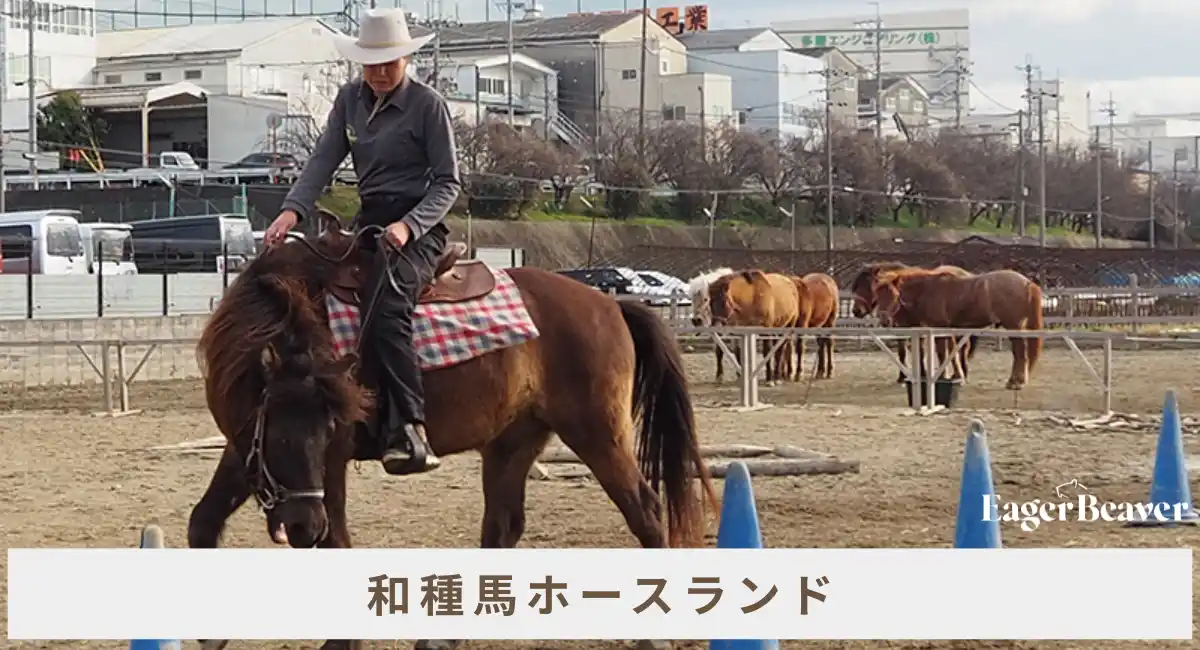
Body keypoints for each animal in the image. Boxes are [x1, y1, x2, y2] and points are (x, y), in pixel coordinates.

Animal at [189, 212, 717, 650]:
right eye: (278, 437)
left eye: (323, 433)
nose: (302, 525)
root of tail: (610, 304)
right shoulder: (242, 448)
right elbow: (203, 521)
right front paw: (211, 635)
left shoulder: (333, 462)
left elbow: (335, 544)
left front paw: (342, 642)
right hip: (512, 441)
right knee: (502, 527)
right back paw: (441, 637)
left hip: (596, 433)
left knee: (644, 509)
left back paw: (654, 636)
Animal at [850, 261, 978, 383]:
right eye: (856, 287)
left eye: (869, 287)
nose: (856, 311)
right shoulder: (900, 329)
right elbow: (902, 352)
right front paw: (902, 376)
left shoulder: (919, 327)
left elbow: (920, 351)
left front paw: (923, 374)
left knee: (963, 347)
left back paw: (963, 373)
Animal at [871, 267, 1044, 390]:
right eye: (877, 296)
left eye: (895, 295)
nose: (884, 320)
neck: (928, 289)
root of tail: (1027, 283)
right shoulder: (947, 329)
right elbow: (950, 353)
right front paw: (954, 375)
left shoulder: (939, 327)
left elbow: (943, 352)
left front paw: (946, 377)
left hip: (1013, 326)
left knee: (1020, 353)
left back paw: (1016, 383)